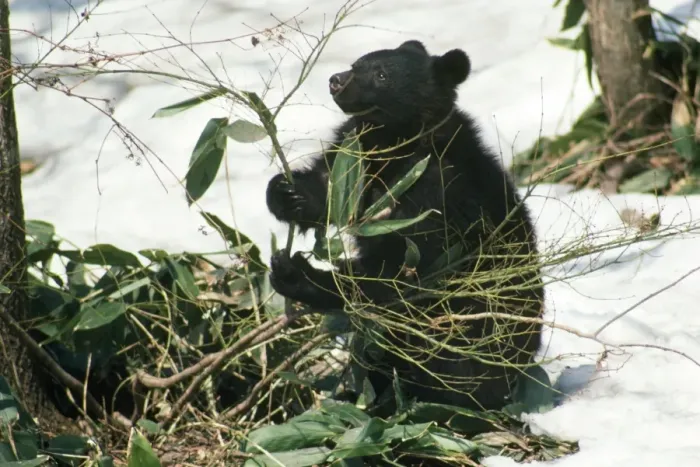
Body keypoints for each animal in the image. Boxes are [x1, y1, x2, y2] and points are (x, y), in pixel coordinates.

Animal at [265, 39, 545, 413]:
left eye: (382, 75)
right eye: (356, 64)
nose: (336, 80)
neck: (394, 139)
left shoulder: (437, 194)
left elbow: (397, 269)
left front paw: (297, 274)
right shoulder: (355, 155)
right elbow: (330, 188)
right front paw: (286, 192)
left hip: (465, 335)